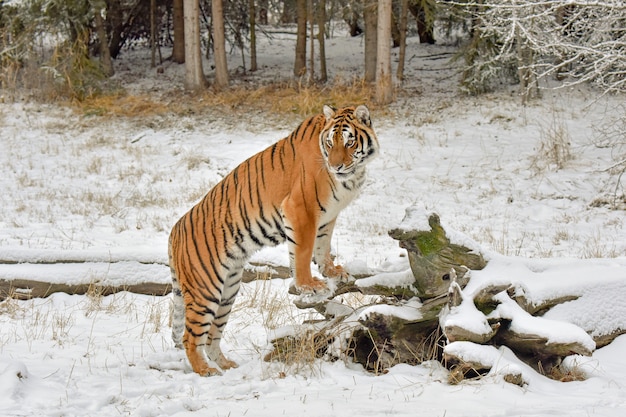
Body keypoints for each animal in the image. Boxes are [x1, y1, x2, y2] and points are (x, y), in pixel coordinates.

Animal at [168, 105, 378, 376]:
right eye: (330, 143)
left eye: (349, 142)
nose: (337, 166)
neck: (351, 177)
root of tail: (174, 231)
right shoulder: (300, 209)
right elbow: (302, 253)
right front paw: (310, 285)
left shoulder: (328, 217)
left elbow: (323, 247)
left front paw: (333, 272)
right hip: (206, 289)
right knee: (190, 337)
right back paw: (206, 371)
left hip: (228, 290)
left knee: (213, 335)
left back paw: (226, 365)